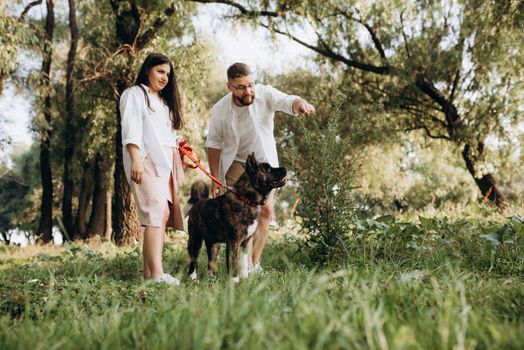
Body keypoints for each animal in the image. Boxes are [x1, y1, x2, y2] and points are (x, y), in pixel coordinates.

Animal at [187, 153, 286, 282]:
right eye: (267, 169)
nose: (285, 169)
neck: (246, 199)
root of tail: (198, 202)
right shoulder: (233, 242)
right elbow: (234, 264)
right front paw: (234, 281)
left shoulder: (245, 242)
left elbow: (243, 263)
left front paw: (244, 280)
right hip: (195, 240)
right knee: (193, 262)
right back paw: (193, 279)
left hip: (214, 245)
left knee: (211, 262)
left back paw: (212, 279)